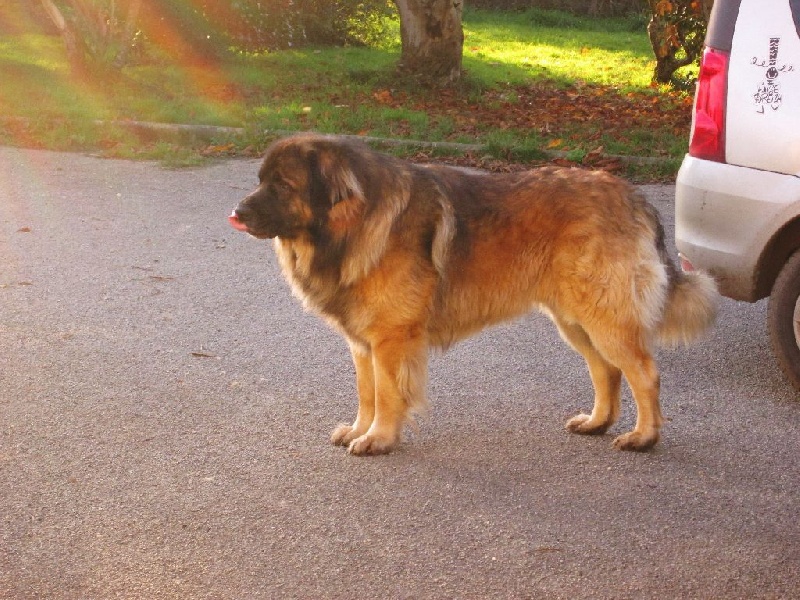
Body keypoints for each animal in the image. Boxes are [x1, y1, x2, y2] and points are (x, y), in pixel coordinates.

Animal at [227, 135, 720, 454]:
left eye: (283, 185)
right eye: (260, 179)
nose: (237, 212)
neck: (352, 223)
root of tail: (636, 198)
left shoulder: (391, 339)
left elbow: (386, 394)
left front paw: (379, 438)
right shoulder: (363, 343)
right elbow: (367, 392)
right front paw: (359, 429)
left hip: (604, 316)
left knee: (644, 373)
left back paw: (644, 437)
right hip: (575, 320)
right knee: (607, 370)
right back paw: (597, 422)